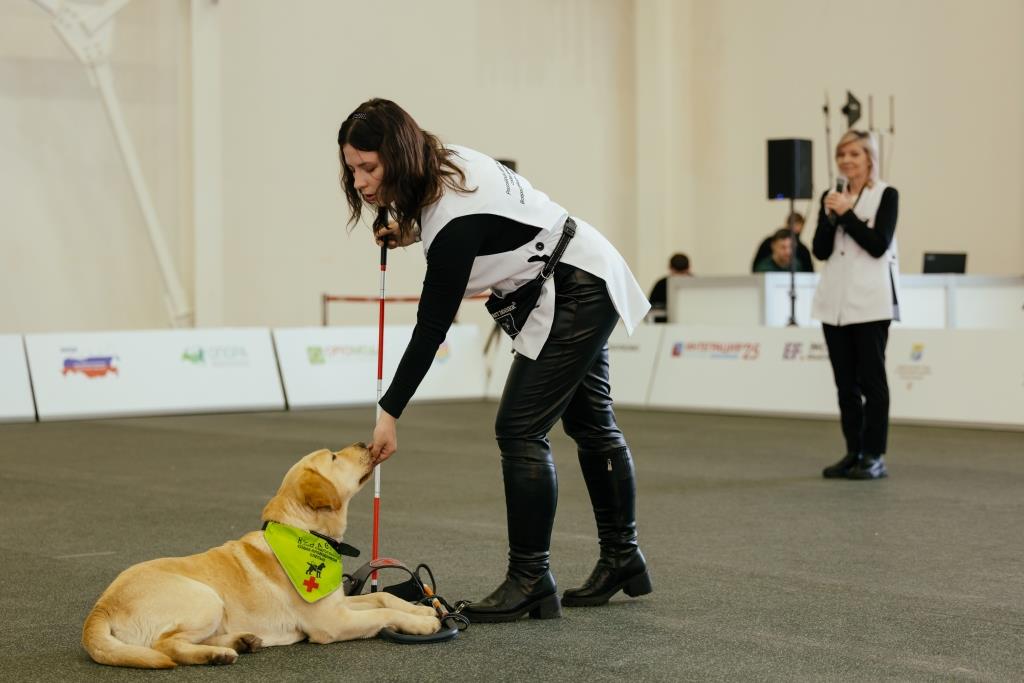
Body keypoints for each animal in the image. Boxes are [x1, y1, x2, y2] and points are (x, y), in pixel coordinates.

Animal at [82, 443, 440, 668]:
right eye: (335, 457)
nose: (366, 442)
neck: (305, 533)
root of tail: (101, 607)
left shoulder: (338, 602)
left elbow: (383, 599)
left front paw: (422, 610)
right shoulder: (332, 622)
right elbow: (381, 613)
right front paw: (421, 623)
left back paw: (239, 642)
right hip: (205, 598)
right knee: (164, 645)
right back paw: (217, 655)